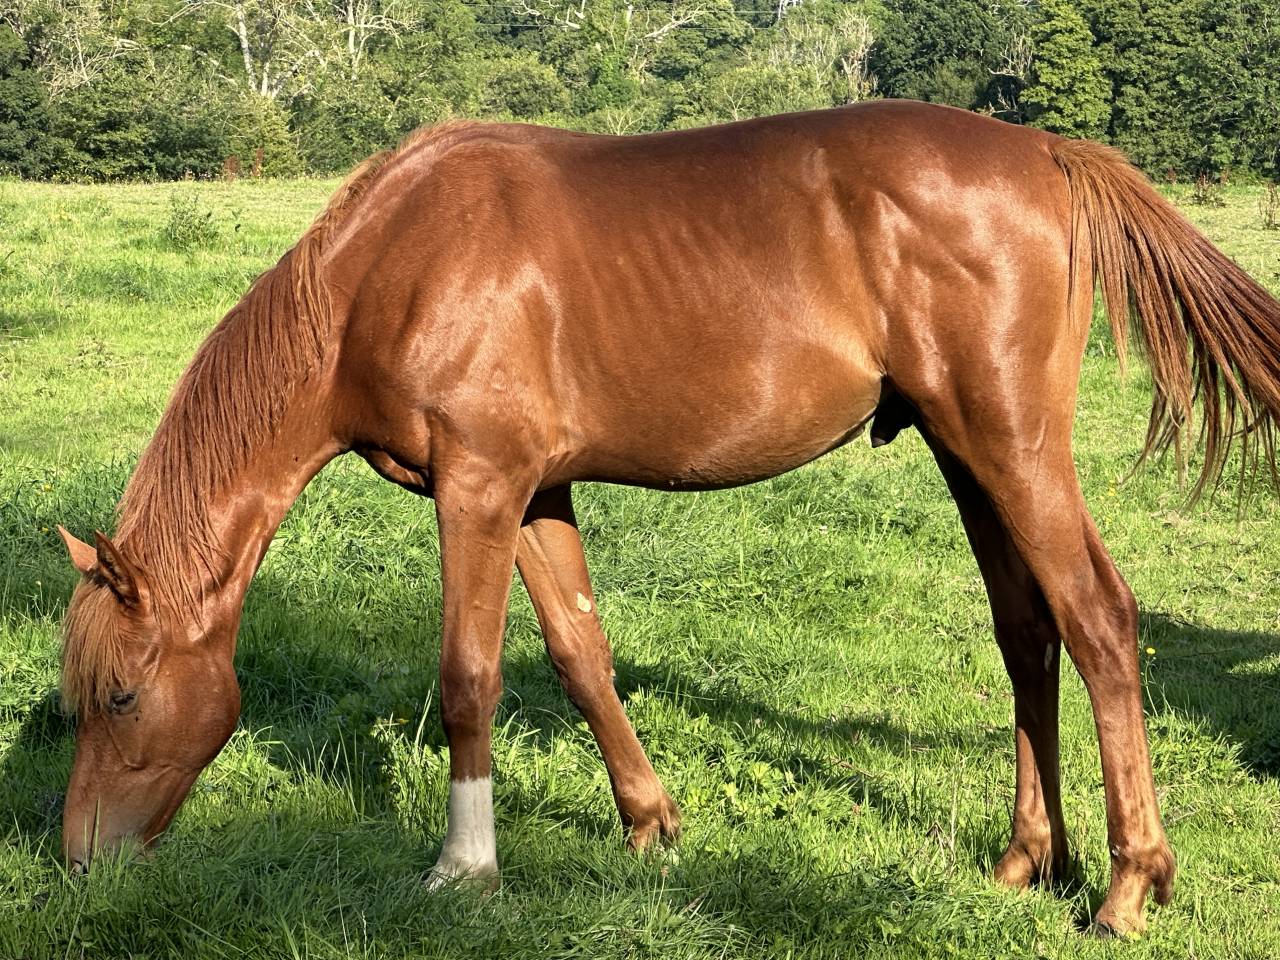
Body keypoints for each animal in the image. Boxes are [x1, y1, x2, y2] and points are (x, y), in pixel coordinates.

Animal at [56, 100, 1280, 936]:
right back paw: (1027, 860)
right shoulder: (537, 494)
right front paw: (650, 823)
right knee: (1026, 632)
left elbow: (469, 676)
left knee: (1099, 620)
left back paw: (1127, 886)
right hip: (965, 450)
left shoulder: (479, 488)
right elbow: (579, 654)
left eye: (121, 696)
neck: (385, 272)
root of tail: (1043, 153)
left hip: (1013, 445)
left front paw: (466, 867)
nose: (73, 864)